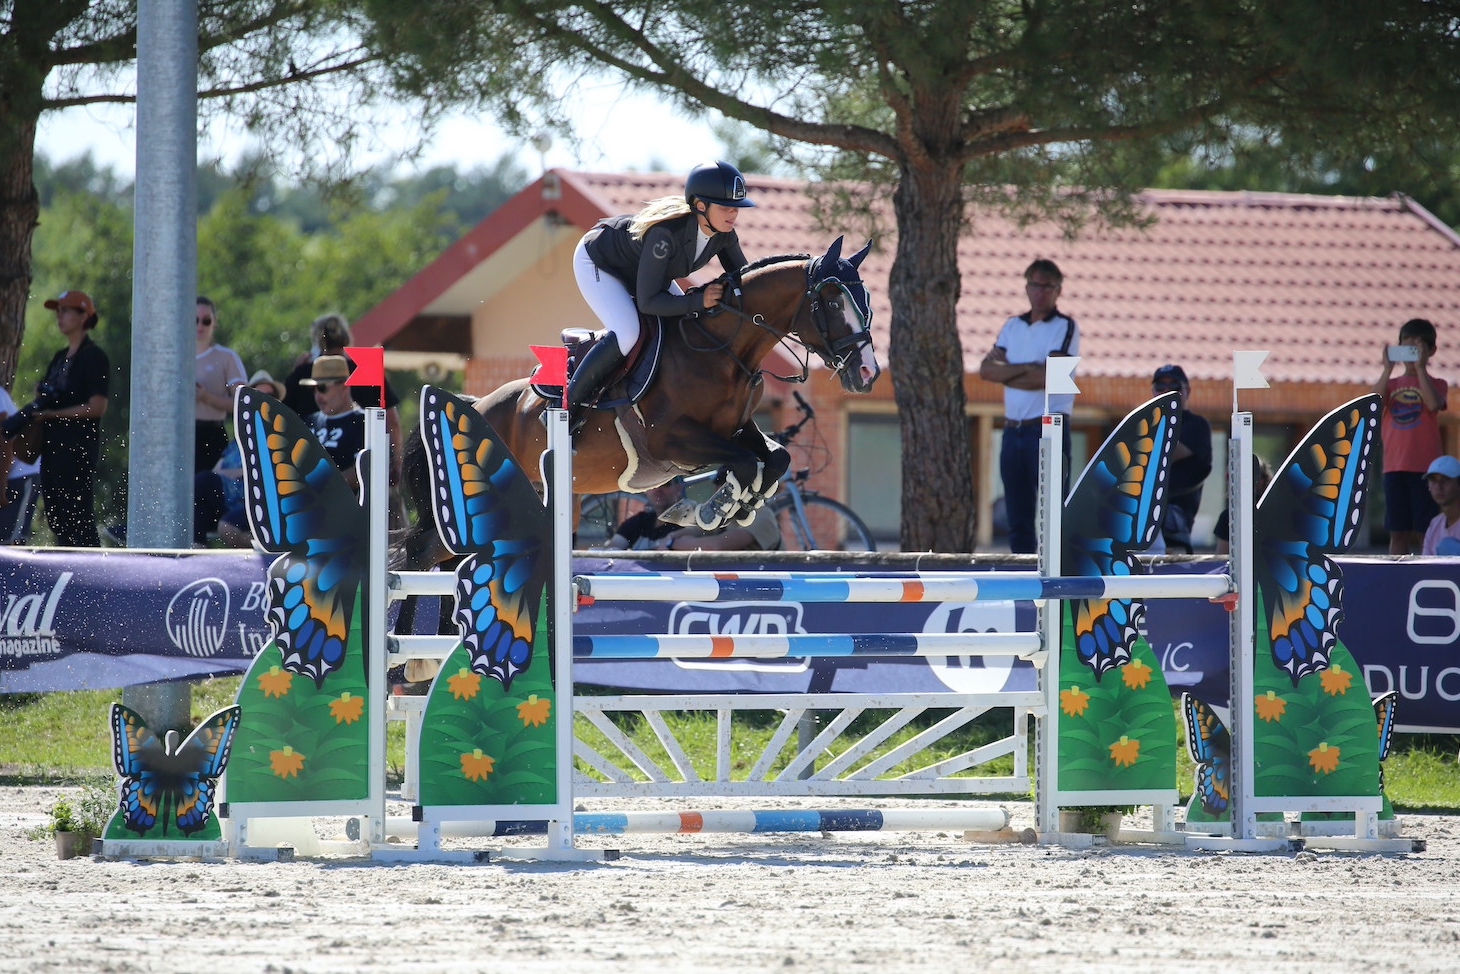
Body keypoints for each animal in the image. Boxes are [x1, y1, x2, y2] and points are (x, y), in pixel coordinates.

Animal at [397, 233, 876, 575]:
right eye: (834, 300)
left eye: (866, 299)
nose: (867, 372)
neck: (721, 350)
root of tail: (474, 404)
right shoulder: (674, 442)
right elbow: (743, 463)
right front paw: (710, 509)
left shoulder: (738, 430)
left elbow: (774, 459)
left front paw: (738, 505)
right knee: (420, 552)